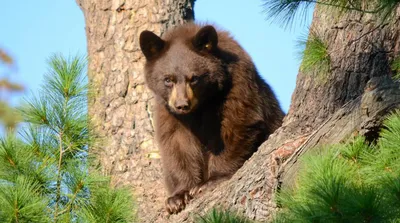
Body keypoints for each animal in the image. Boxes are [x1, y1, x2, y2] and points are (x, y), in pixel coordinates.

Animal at [140, 23, 284, 214]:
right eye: (168, 79)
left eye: (194, 78)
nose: (182, 105)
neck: (202, 104)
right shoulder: (168, 111)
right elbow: (176, 143)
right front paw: (178, 197)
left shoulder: (237, 85)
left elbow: (236, 125)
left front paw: (211, 181)